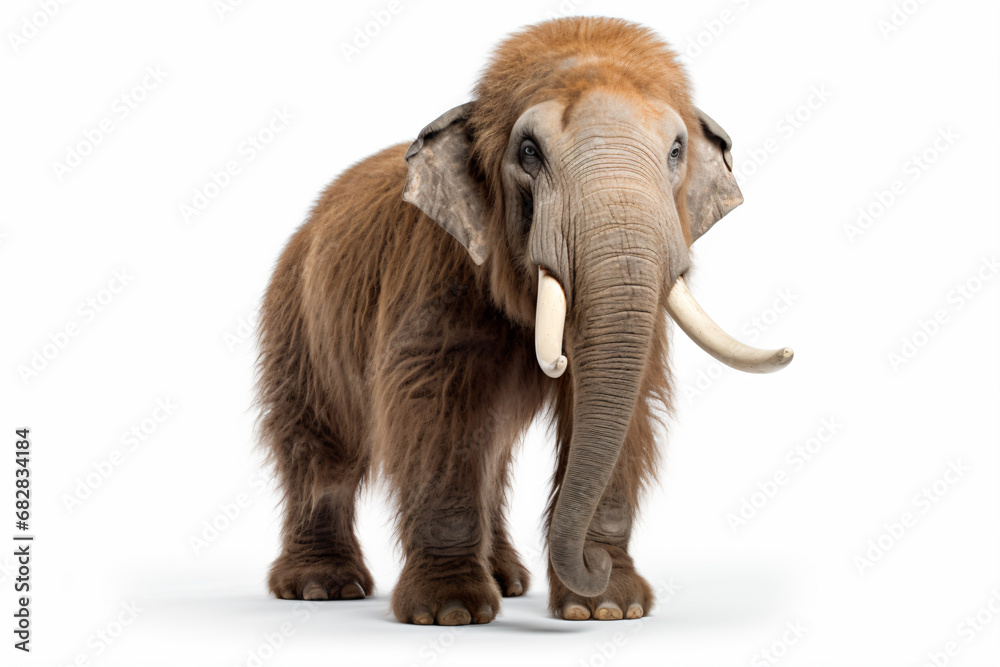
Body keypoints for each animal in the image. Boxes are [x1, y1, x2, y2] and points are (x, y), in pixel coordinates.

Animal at [256, 16, 793, 626]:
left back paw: (509, 581)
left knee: (491, 452)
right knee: (321, 447)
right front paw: (451, 612)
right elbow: (438, 406)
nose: (591, 566)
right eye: (530, 151)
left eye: (677, 150)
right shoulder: (438, 273)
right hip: (295, 318)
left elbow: (620, 402)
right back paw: (323, 588)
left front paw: (609, 608)